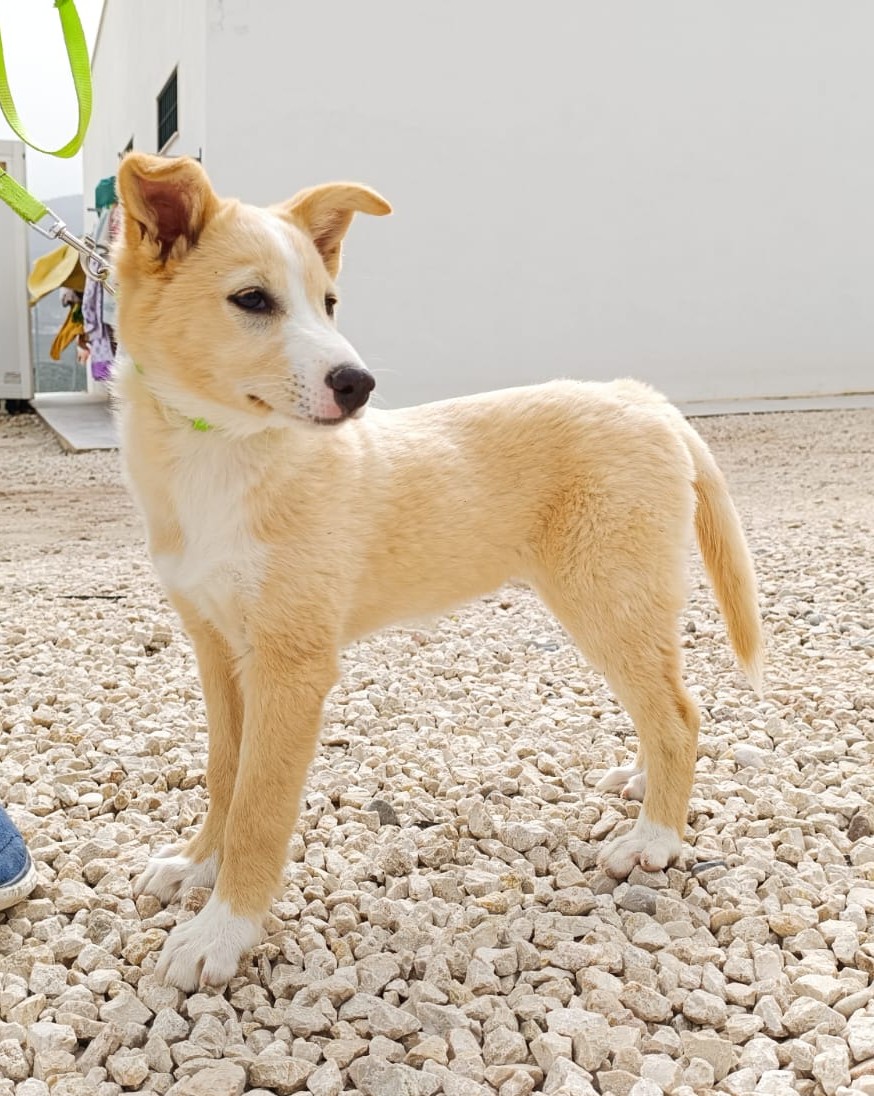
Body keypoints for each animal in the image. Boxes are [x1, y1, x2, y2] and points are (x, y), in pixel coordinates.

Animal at [113, 152, 762, 991]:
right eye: (252, 300)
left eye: (329, 304)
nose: (357, 385)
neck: (219, 449)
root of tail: (641, 399)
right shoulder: (216, 648)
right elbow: (226, 775)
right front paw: (196, 867)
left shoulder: (292, 666)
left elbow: (260, 807)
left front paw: (222, 931)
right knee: (666, 705)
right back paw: (645, 785)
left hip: (607, 597)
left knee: (679, 712)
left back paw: (654, 838)